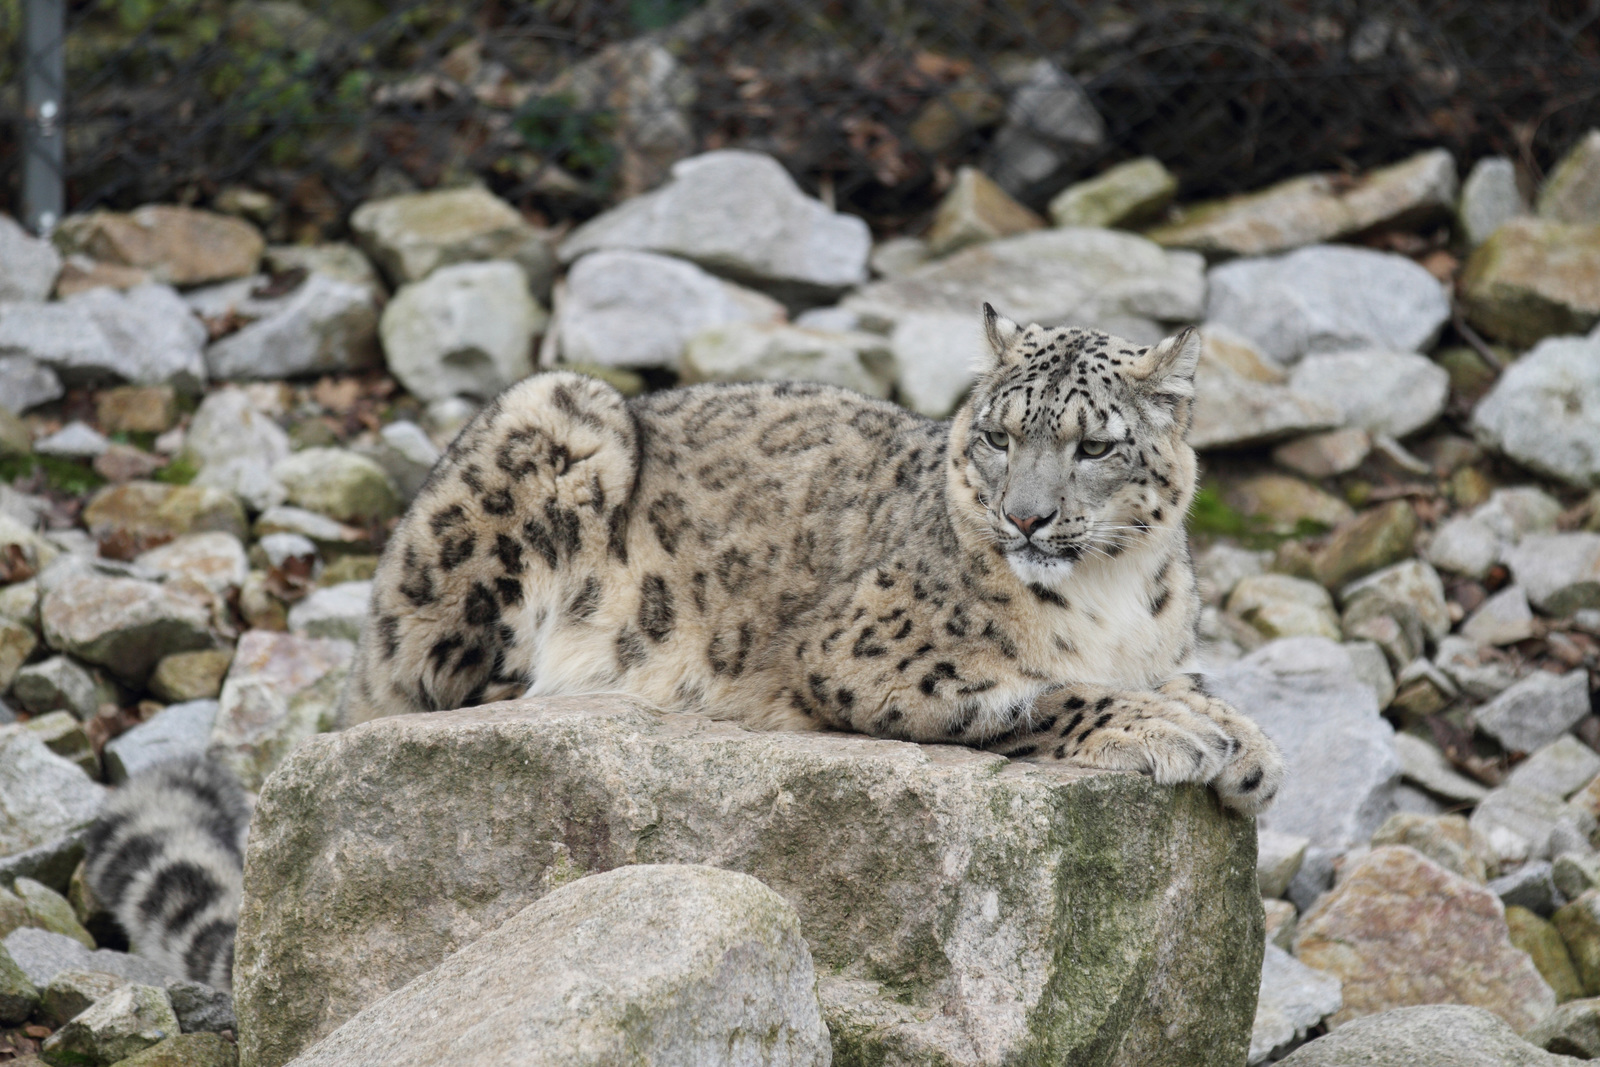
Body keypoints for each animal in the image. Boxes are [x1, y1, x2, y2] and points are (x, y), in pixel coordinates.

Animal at [344, 308, 1280, 819]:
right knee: (438, 685)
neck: (1108, 590)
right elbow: (1042, 691)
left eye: (1094, 445)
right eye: (997, 434)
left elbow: (1197, 686)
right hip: (552, 419)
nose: (1025, 516)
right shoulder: (869, 652)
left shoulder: (1167, 649)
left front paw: (1249, 747)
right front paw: (1169, 729)